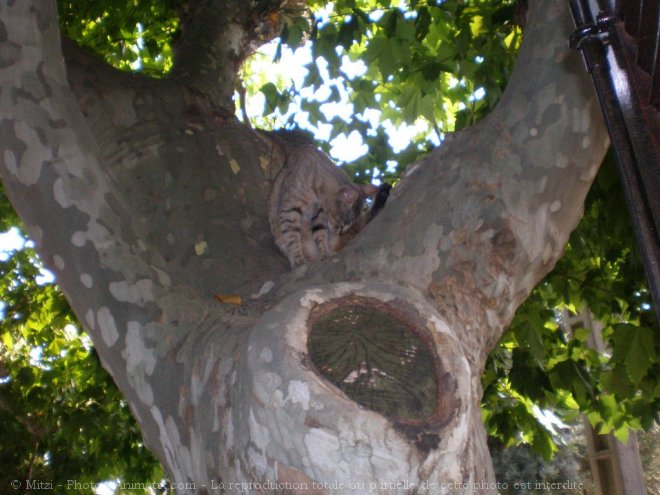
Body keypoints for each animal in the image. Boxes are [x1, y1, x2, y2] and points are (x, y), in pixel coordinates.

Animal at [266, 131, 392, 268]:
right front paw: (298, 259)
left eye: (344, 225)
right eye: (341, 224)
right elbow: (292, 237)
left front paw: (325, 253)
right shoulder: (290, 210)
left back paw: (383, 193)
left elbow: (320, 234)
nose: (340, 232)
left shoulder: (319, 214)